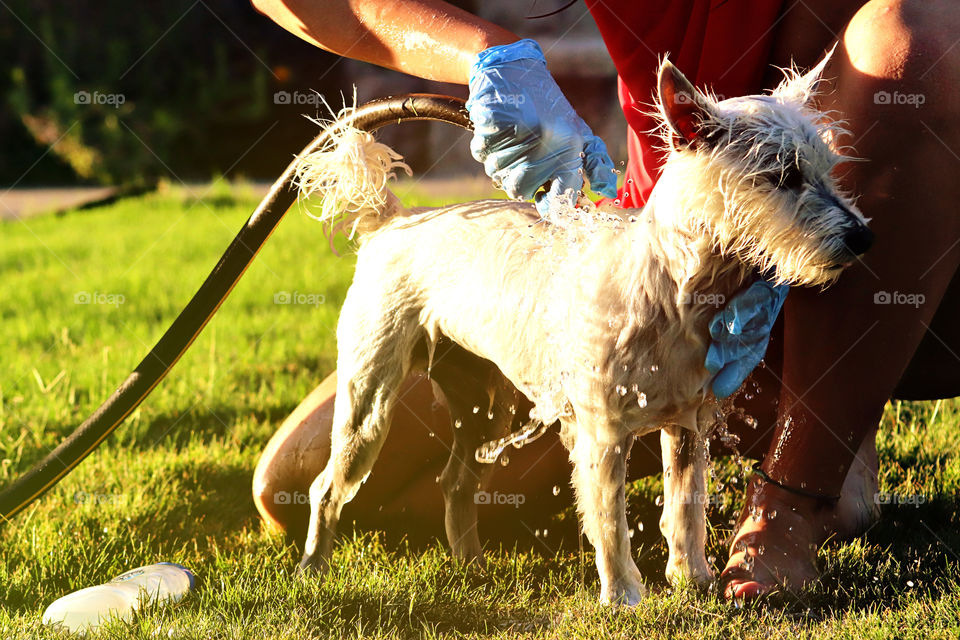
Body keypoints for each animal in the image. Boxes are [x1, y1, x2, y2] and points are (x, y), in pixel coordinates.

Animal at [292, 56, 872, 604]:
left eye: (826, 169)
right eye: (782, 175)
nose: (863, 237)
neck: (678, 292)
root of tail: (395, 221)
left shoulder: (687, 426)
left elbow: (686, 509)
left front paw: (694, 580)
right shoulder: (602, 433)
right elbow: (610, 525)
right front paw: (623, 598)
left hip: (484, 406)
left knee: (455, 482)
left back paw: (471, 565)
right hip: (368, 403)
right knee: (325, 487)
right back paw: (313, 569)